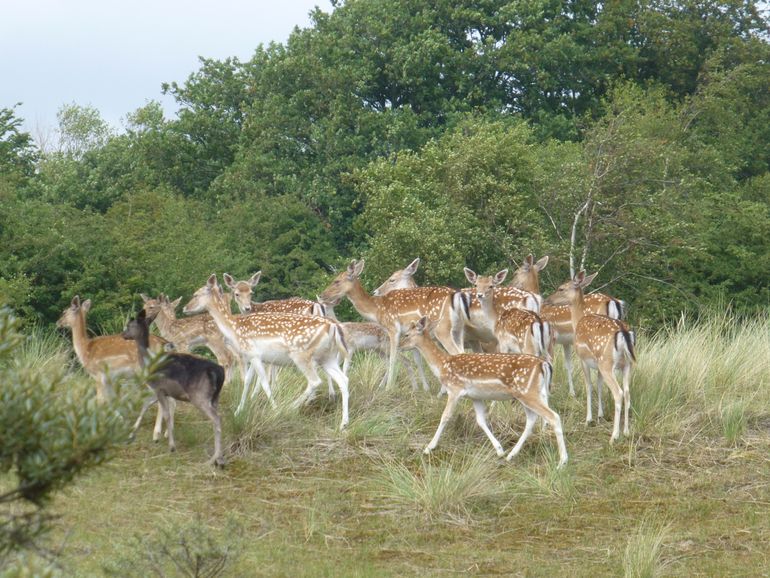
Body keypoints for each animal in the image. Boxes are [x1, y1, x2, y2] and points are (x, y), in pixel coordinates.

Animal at [182, 272, 350, 426]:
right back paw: (343, 423)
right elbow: (247, 381)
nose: (185, 308)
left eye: (196, 294)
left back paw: (289, 408)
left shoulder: (255, 355)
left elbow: (264, 382)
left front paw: (274, 409)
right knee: (343, 379)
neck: (234, 328)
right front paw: (238, 411)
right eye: (237, 293)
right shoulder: (251, 355)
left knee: (315, 381)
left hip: (302, 355)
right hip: (327, 357)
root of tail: (332, 327)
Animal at [316, 258, 464, 390]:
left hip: (442, 329)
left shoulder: (393, 328)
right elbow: (415, 359)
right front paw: (422, 388)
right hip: (458, 331)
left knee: (456, 352)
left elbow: (393, 359)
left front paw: (388, 387)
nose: (322, 295)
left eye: (336, 281)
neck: (376, 310)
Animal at [400, 312, 568, 466]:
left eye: (407, 334)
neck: (442, 365)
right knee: (532, 420)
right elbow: (480, 420)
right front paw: (499, 450)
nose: (399, 346)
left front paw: (429, 447)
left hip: (528, 393)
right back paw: (511, 455)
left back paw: (562, 462)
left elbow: (445, 416)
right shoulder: (475, 396)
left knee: (553, 416)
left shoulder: (455, 389)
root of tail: (543, 365)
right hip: (531, 393)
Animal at [544, 272, 636, 438]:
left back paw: (614, 435)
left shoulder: (583, 359)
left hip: (607, 363)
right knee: (626, 392)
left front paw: (589, 419)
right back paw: (626, 431)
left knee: (618, 393)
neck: (577, 321)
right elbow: (598, 385)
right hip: (627, 364)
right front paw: (600, 415)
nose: (548, 299)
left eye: (561, 288)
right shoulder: (597, 365)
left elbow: (588, 386)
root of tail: (624, 333)